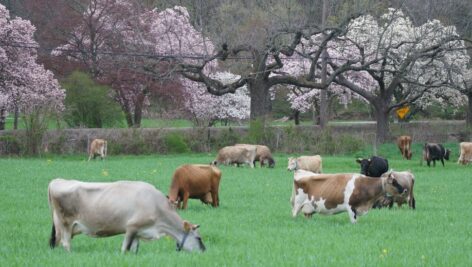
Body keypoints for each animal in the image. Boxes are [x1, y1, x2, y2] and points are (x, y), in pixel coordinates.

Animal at [47, 179, 206, 254]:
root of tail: (57, 181)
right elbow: (125, 249)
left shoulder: (139, 232)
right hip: (66, 224)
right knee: (66, 244)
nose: (204, 251)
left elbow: (134, 249)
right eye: (198, 238)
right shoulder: (131, 227)